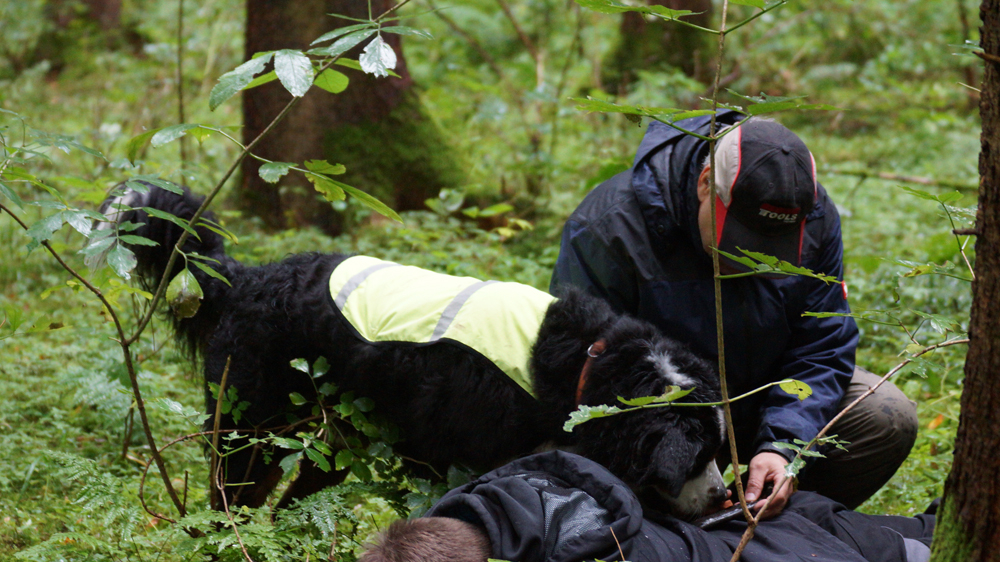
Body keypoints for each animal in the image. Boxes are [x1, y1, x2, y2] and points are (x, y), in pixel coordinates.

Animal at [99, 184, 728, 516]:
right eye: (699, 456)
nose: (725, 498)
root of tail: (247, 278)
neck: (581, 365)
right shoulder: (447, 461)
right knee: (232, 502)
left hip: (331, 445)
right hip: (250, 428)